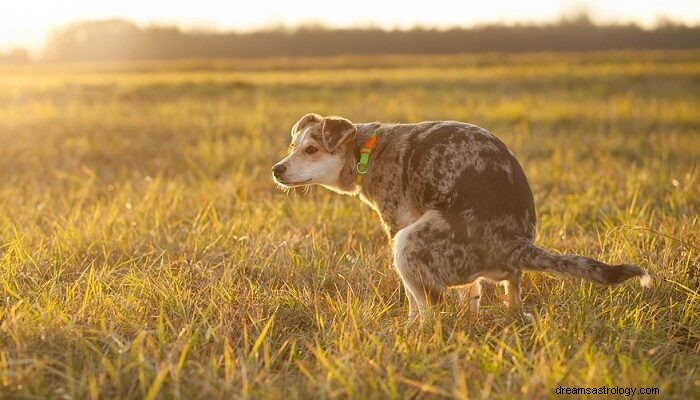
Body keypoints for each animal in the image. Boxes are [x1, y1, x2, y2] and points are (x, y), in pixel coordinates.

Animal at [272, 114, 652, 320]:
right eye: (292, 147)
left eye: (311, 149)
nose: (277, 169)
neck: (366, 150)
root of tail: (515, 244)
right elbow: (471, 293)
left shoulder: (398, 224)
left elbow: (413, 301)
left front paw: (409, 327)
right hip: (497, 274)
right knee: (509, 294)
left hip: (409, 243)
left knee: (430, 308)